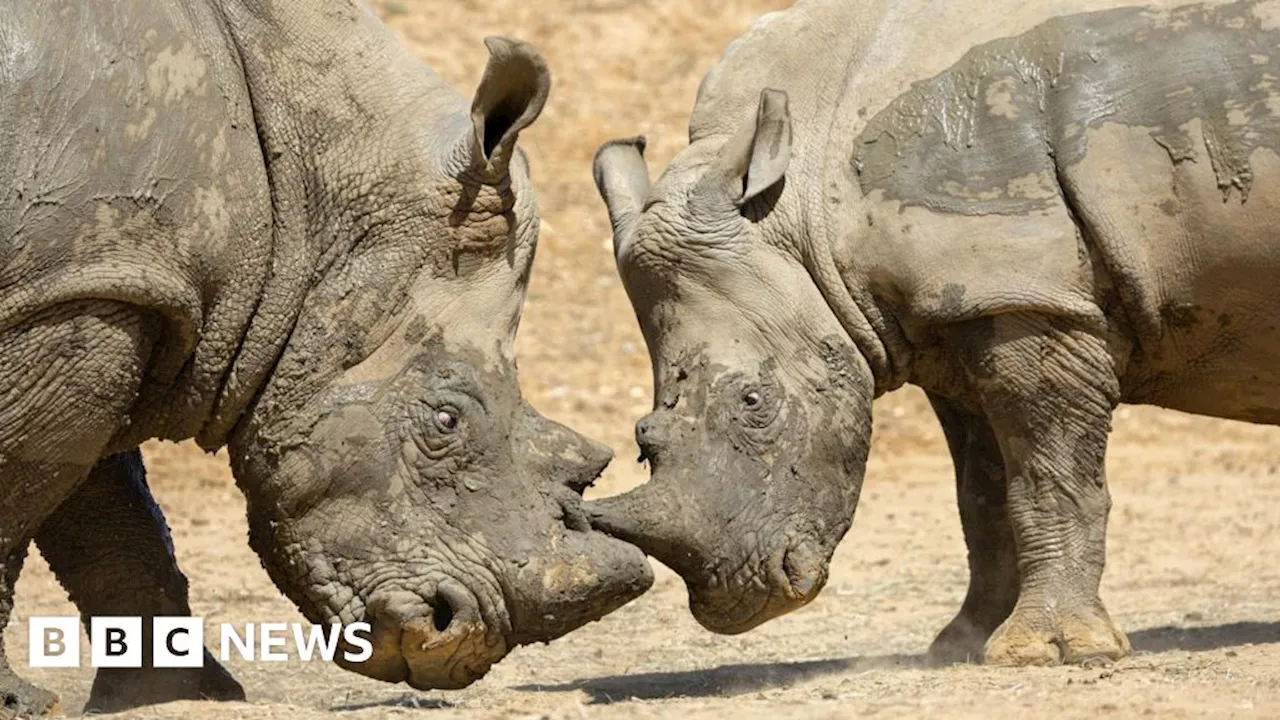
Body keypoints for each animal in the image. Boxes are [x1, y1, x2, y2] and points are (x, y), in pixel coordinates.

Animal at [0, 0, 655, 712]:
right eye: (445, 421)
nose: (458, 638)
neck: (308, 189)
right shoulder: (76, 292)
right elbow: (23, 491)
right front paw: (21, 703)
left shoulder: (108, 286)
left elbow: (111, 518)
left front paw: (185, 697)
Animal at [591, 0, 1280, 666]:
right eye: (642, 442)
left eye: (753, 402)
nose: (731, 600)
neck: (801, 206)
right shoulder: (963, 314)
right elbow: (983, 497)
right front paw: (961, 645)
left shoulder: (1027, 296)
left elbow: (1049, 479)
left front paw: (1050, 652)